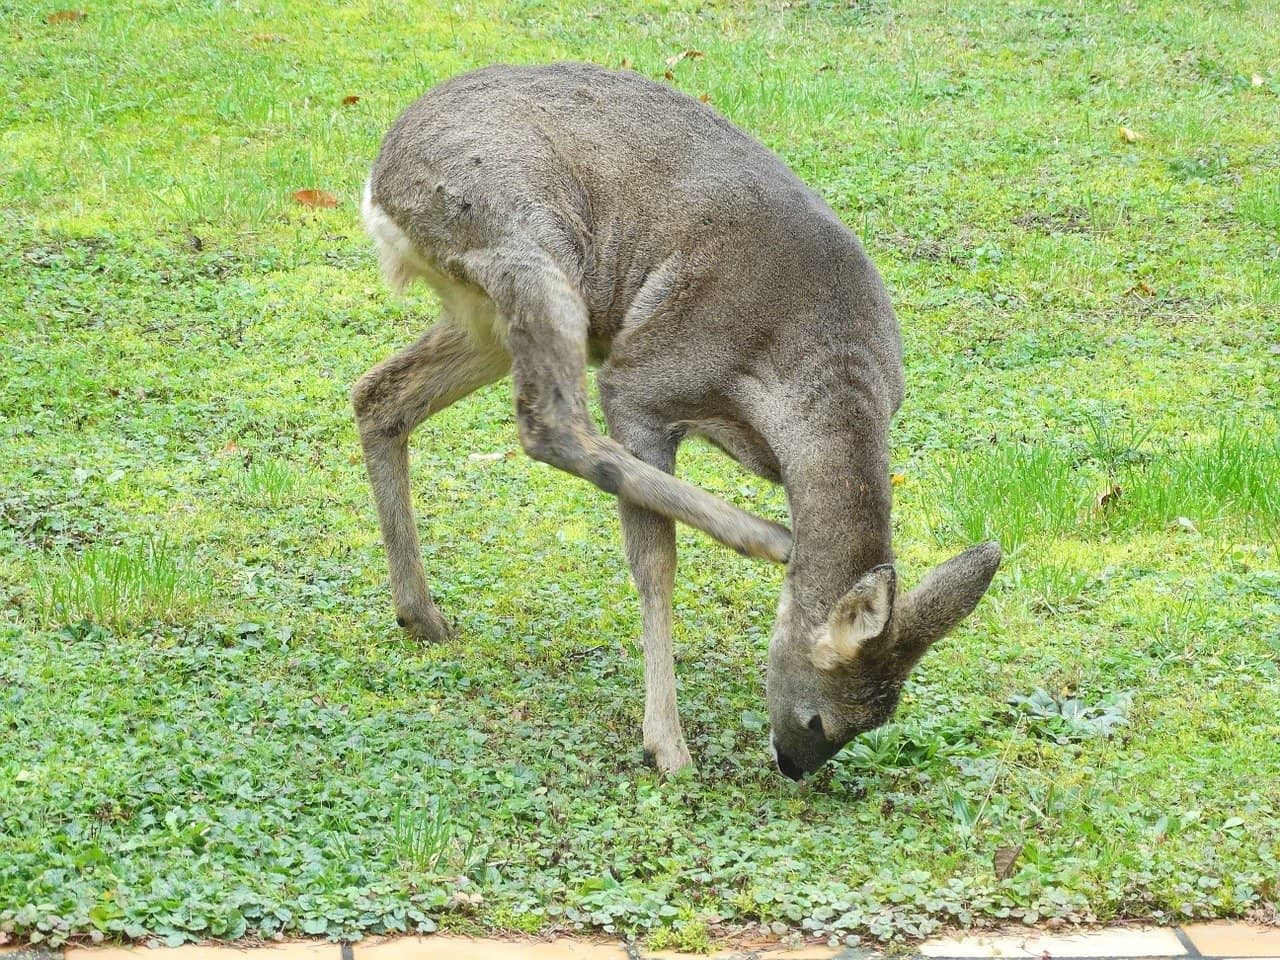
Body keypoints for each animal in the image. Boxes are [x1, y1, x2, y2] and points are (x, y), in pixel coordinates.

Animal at [352, 62, 1001, 779]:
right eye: (821, 719)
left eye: (874, 722)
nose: (793, 766)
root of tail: (380, 181)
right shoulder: (644, 379)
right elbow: (654, 558)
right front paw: (665, 740)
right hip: (530, 247)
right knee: (549, 424)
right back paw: (767, 537)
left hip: (483, 316)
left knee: (379, 395)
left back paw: (421, 615)